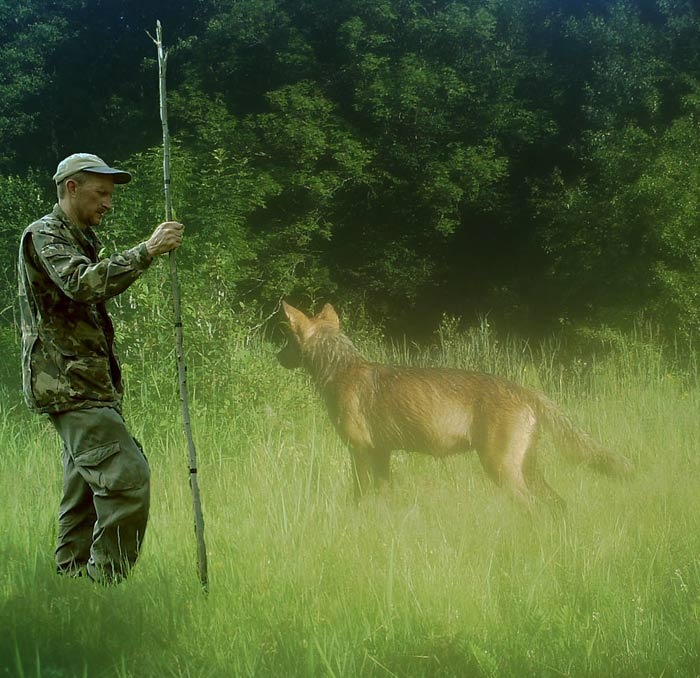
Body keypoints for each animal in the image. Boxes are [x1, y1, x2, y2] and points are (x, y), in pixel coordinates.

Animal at [278, 302, 636, 510]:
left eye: (287, 339)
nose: (275, 355)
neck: (340, 370)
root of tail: (526, 390)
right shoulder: (382, 453)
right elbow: (384, 497)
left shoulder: (360, 451)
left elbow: (359, 497)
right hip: (528, 470)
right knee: (558, 505)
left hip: (501, 470)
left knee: (534, 508)